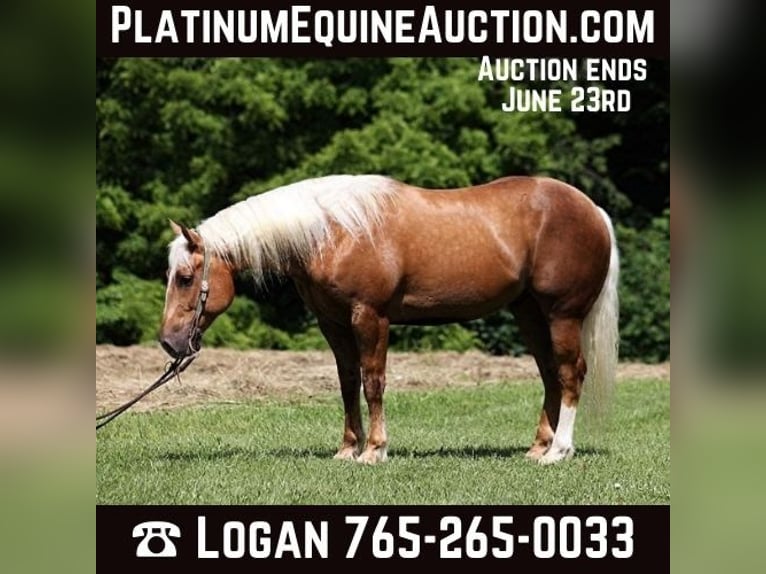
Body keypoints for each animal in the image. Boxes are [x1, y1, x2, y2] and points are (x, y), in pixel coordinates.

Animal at [160, 174, 619, 465]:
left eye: (185, 278)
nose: (168, 342)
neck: (334, 230)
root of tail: (593, 210)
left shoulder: (370, 317)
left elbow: (373, 382)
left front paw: (375, 450)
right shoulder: (333, 323)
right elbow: (348, 383)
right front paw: (348, 448)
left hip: (562, 314)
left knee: (571, 373)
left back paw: (558, 452)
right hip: (529, 313)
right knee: (550, 375)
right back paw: (539, 447)